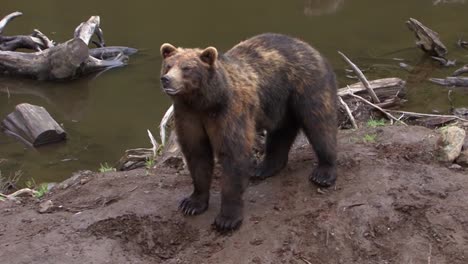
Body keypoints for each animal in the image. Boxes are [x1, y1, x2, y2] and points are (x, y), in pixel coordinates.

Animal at [160, 32, 336, 231]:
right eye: (168, 65)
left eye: (187, 68)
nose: (167, 79)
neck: (204, 102)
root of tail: (308, 45)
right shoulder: (189, 116)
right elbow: (197, 155)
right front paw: (192, 203)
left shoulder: (229, 112)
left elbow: (233, 155)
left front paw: (227, 219)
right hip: (278, 102)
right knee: (281, 130)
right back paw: (264, 167)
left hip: (306, 84)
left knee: (319, 122)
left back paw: (323, 172)